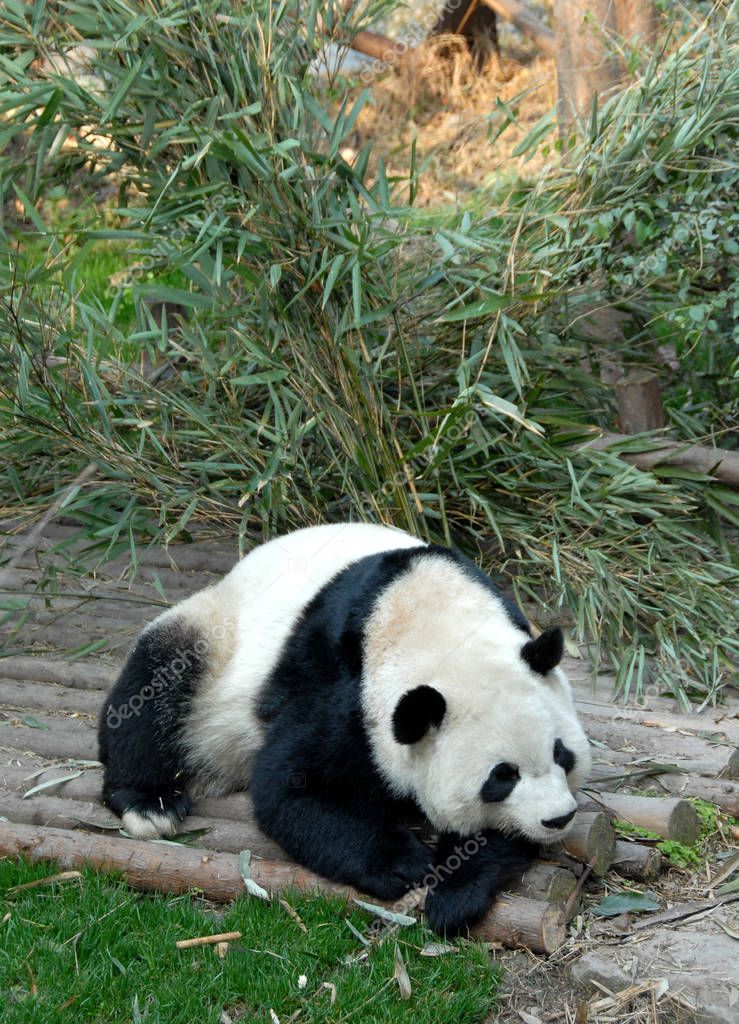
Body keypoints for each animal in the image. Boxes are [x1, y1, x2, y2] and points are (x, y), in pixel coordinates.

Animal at [98, 522, 591, 935]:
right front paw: (405, 864)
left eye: (561, 754)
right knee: (157, 679)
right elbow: (292, 789)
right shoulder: (340, 682)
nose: (558, 818)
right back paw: (150, 803)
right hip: (218, 637)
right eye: (501, 777)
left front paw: (456, 891)